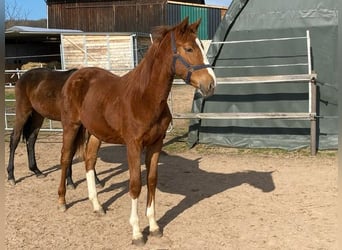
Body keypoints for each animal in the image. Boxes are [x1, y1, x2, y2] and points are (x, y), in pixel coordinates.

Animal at [57, 18, 215, 246]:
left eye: (201, 46)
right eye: (189, 48)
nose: (211, 84)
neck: (144, 97)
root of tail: (75, 75)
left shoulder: (156, 143)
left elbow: (151, 180)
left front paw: (155, 227)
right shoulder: (133, 145)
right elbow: (135, 185)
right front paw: (137, 233)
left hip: (95, 132)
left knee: (89, 160)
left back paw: (97, 206)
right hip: (71, 126)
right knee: (65, 158)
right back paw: (62, 201)